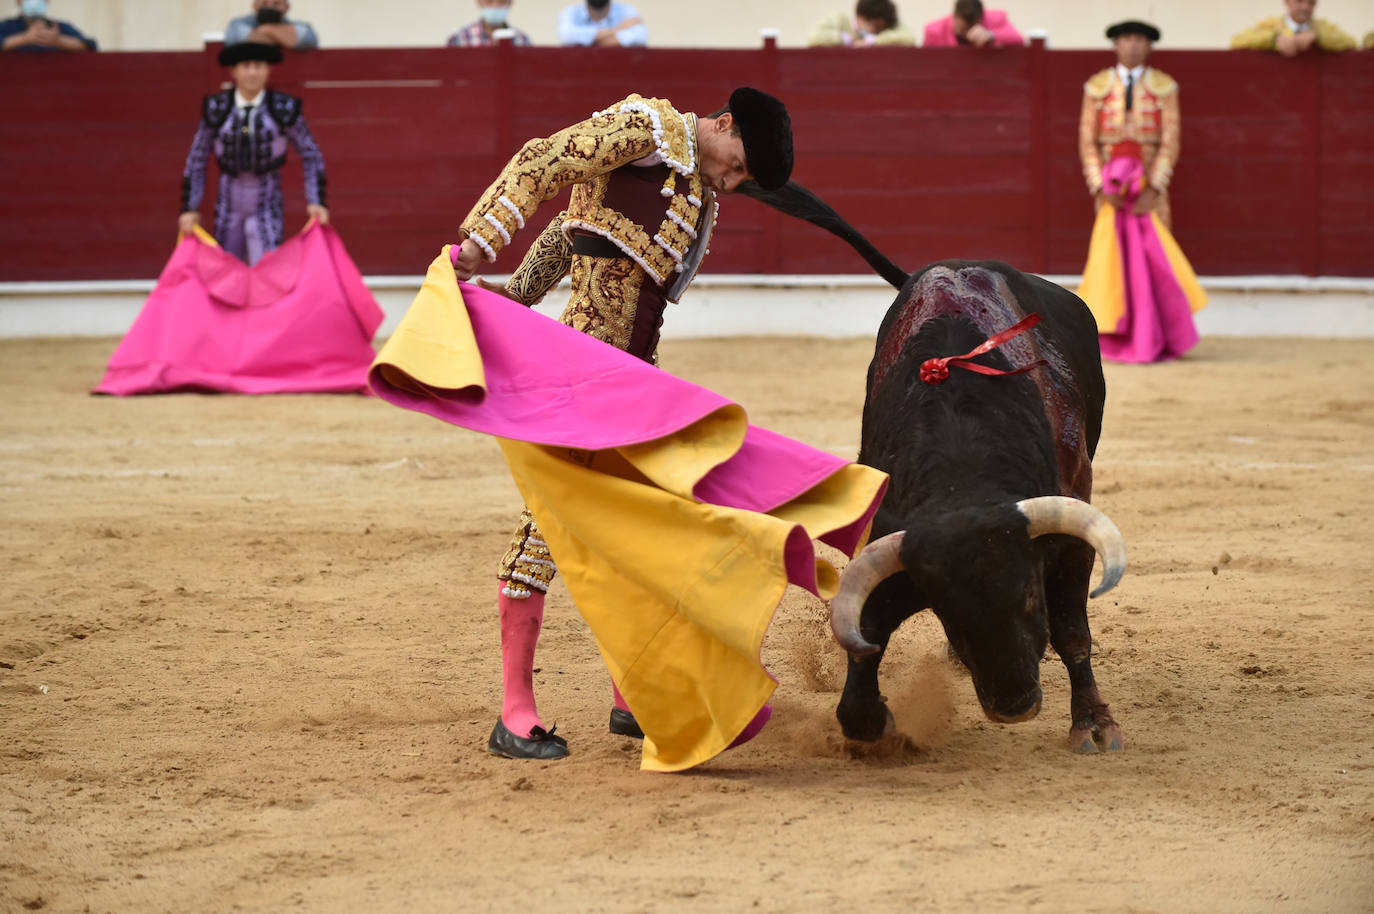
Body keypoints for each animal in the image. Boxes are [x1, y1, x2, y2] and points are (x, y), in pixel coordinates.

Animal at [824, 259, 1126, 753]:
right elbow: (868, 629)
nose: (1014, 705)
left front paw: (1094, 723)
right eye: (946, 613)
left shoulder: (1071, 530)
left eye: (1030, 596)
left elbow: (1072, 632)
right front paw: (870, 723)